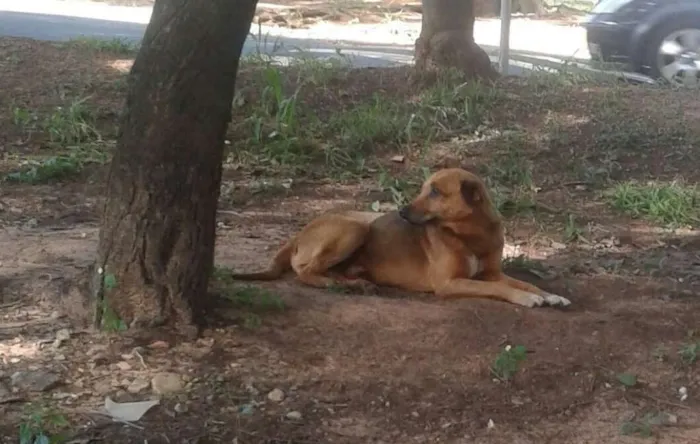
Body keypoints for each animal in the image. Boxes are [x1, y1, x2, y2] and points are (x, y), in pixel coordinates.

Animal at [232, 167, 572, 308]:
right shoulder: (451, 283)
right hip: (356, 227)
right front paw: (528, 299)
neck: (469, 233)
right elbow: (501, 290)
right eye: (424, 188)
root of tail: (299, 233)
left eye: (435, 192)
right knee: (305, 271)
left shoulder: (492, 273)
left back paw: (356, 283)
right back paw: (333, 283)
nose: (401, 211)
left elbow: (524, 283)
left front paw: (549, 295)